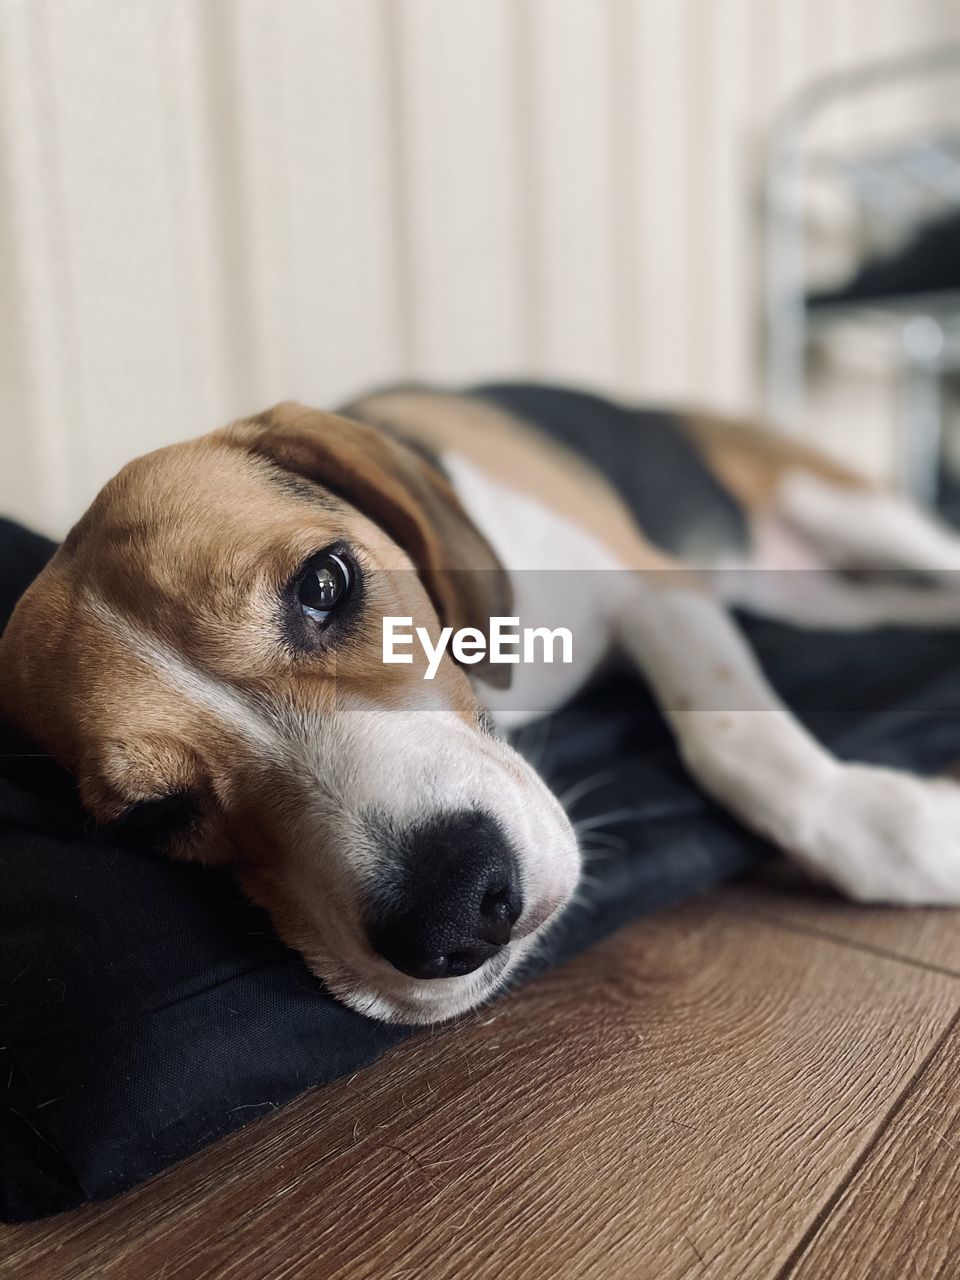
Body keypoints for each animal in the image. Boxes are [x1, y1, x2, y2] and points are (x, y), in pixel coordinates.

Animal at [1, 381, 960, 1029]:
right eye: (156, 818)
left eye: (325, 584)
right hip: (831, 603)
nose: (458, 908)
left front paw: (909, 835)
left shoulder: (656, 589)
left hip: (839, 502)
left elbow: (737, 744)